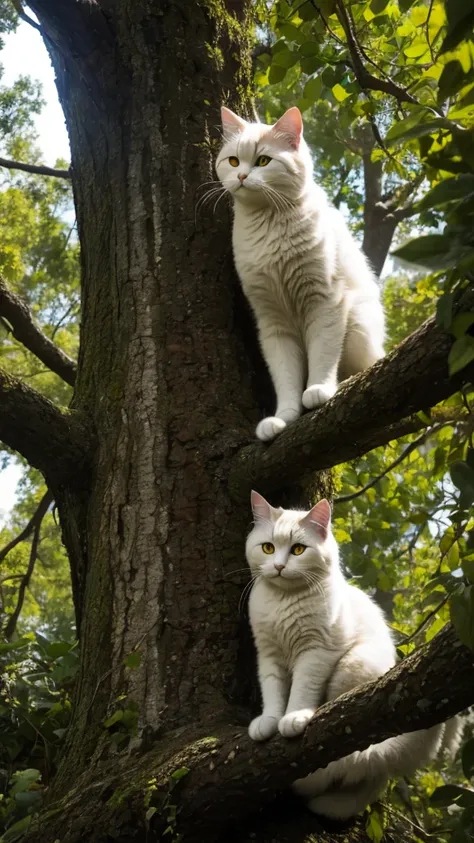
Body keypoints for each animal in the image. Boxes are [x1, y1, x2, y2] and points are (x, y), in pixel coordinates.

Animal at [216, 105, 386, 442]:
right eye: (233, 161)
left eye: (263, 161)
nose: (241, 176)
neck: (268, 224)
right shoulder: (273, 323)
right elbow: (286, 376)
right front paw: (283, 418)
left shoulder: (325, 302)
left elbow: (323, 353)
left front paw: (319, 389)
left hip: (358, 323)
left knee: (360, 367)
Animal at [246, 492, 462, 820]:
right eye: (268, 548)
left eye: (298, 550)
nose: (280, 566)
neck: (284, 600)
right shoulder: (268, 654)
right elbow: (272, 691)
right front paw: (269, 722)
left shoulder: (316, 651)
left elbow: (301, 690)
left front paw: (293, 718)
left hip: (350, 670)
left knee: (352, 756)